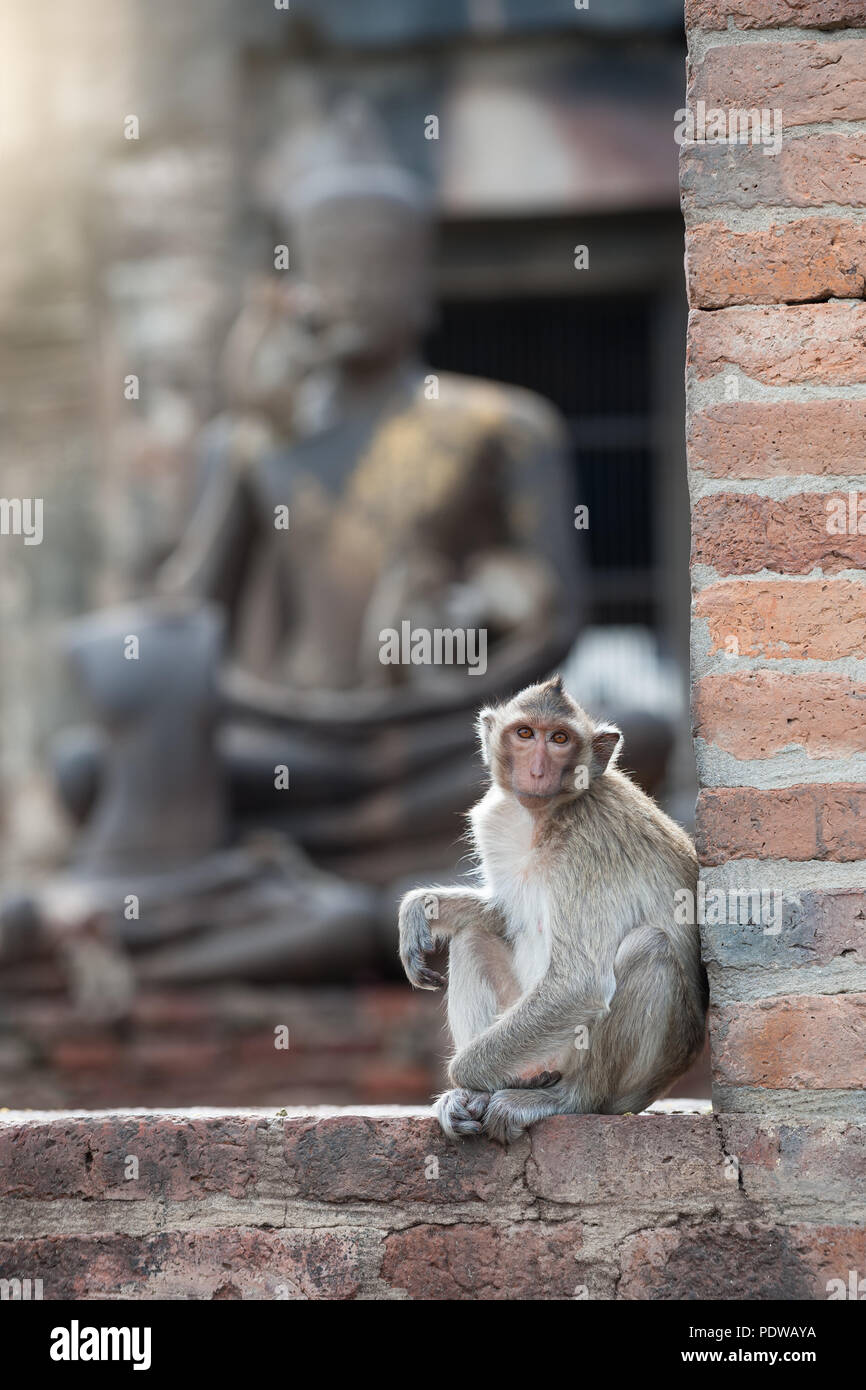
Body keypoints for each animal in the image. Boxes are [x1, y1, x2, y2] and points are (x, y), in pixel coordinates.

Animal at [400, 672, 711, 1139]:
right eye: (525, 734)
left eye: (560, 739)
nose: (537, 769)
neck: (542, 817)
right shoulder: (496, 821)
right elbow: (503, 916)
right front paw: (421, 908)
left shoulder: (591, 845)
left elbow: (579, 983)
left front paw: (463, 1075)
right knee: (473, 937)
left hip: (613, 1074)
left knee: (648, 948)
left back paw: (560, 1097)